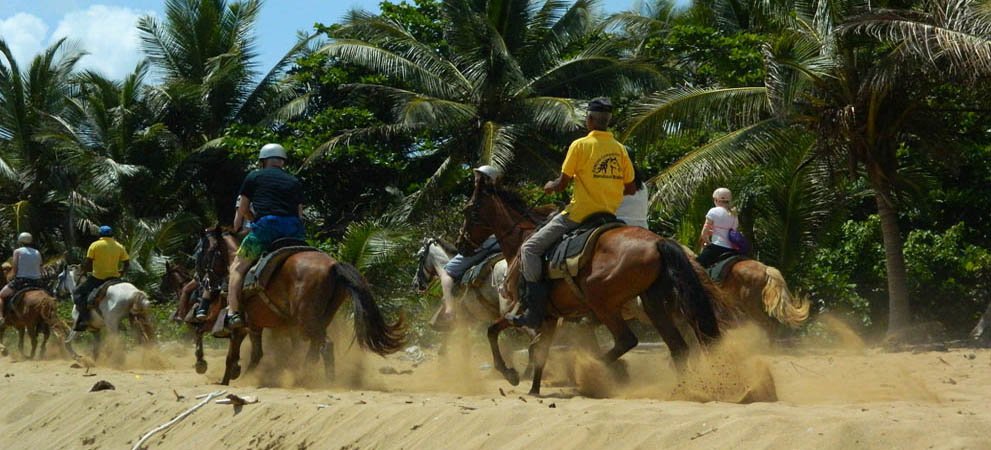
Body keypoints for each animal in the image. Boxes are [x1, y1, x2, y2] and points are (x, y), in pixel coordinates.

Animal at [215, 234, 404, 384]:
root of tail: (334, 266)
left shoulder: (246, 326)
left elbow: (237, 356)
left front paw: (231, 379)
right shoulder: (275, 328)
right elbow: (260, 353)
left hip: (307, 321)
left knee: (325, 346)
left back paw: (323, 381)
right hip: (318, 320)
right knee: (314, 350)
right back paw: (304, 377)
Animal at [460, 176, 728, 394]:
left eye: (468, 210)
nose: (462, 244)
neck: (522, 242)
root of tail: (658, 243)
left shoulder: (522, 310)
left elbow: (494, 331)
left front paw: (510, 373)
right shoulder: (549, 316)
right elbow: (539, 351)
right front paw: (534, 390)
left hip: (602, 304)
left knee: (627, 340)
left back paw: (597, 371)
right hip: (653, 304)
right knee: (679, 348)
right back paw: (681, 389)